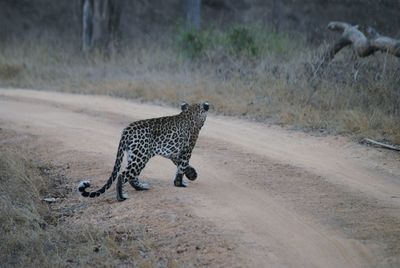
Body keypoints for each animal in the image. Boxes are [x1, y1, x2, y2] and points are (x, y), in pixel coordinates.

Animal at [77, 101, 209, 202]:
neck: (191, 113)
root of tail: (127, 130)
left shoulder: (175, 153)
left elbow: (181, 165)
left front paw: (192, 174)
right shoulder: (187, 150)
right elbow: (182, 166)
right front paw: (180, 183)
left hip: (134, 154)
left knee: (132, 177)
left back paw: (141, 187)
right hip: (141, 156)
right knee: (123, 175)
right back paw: (121, 197)